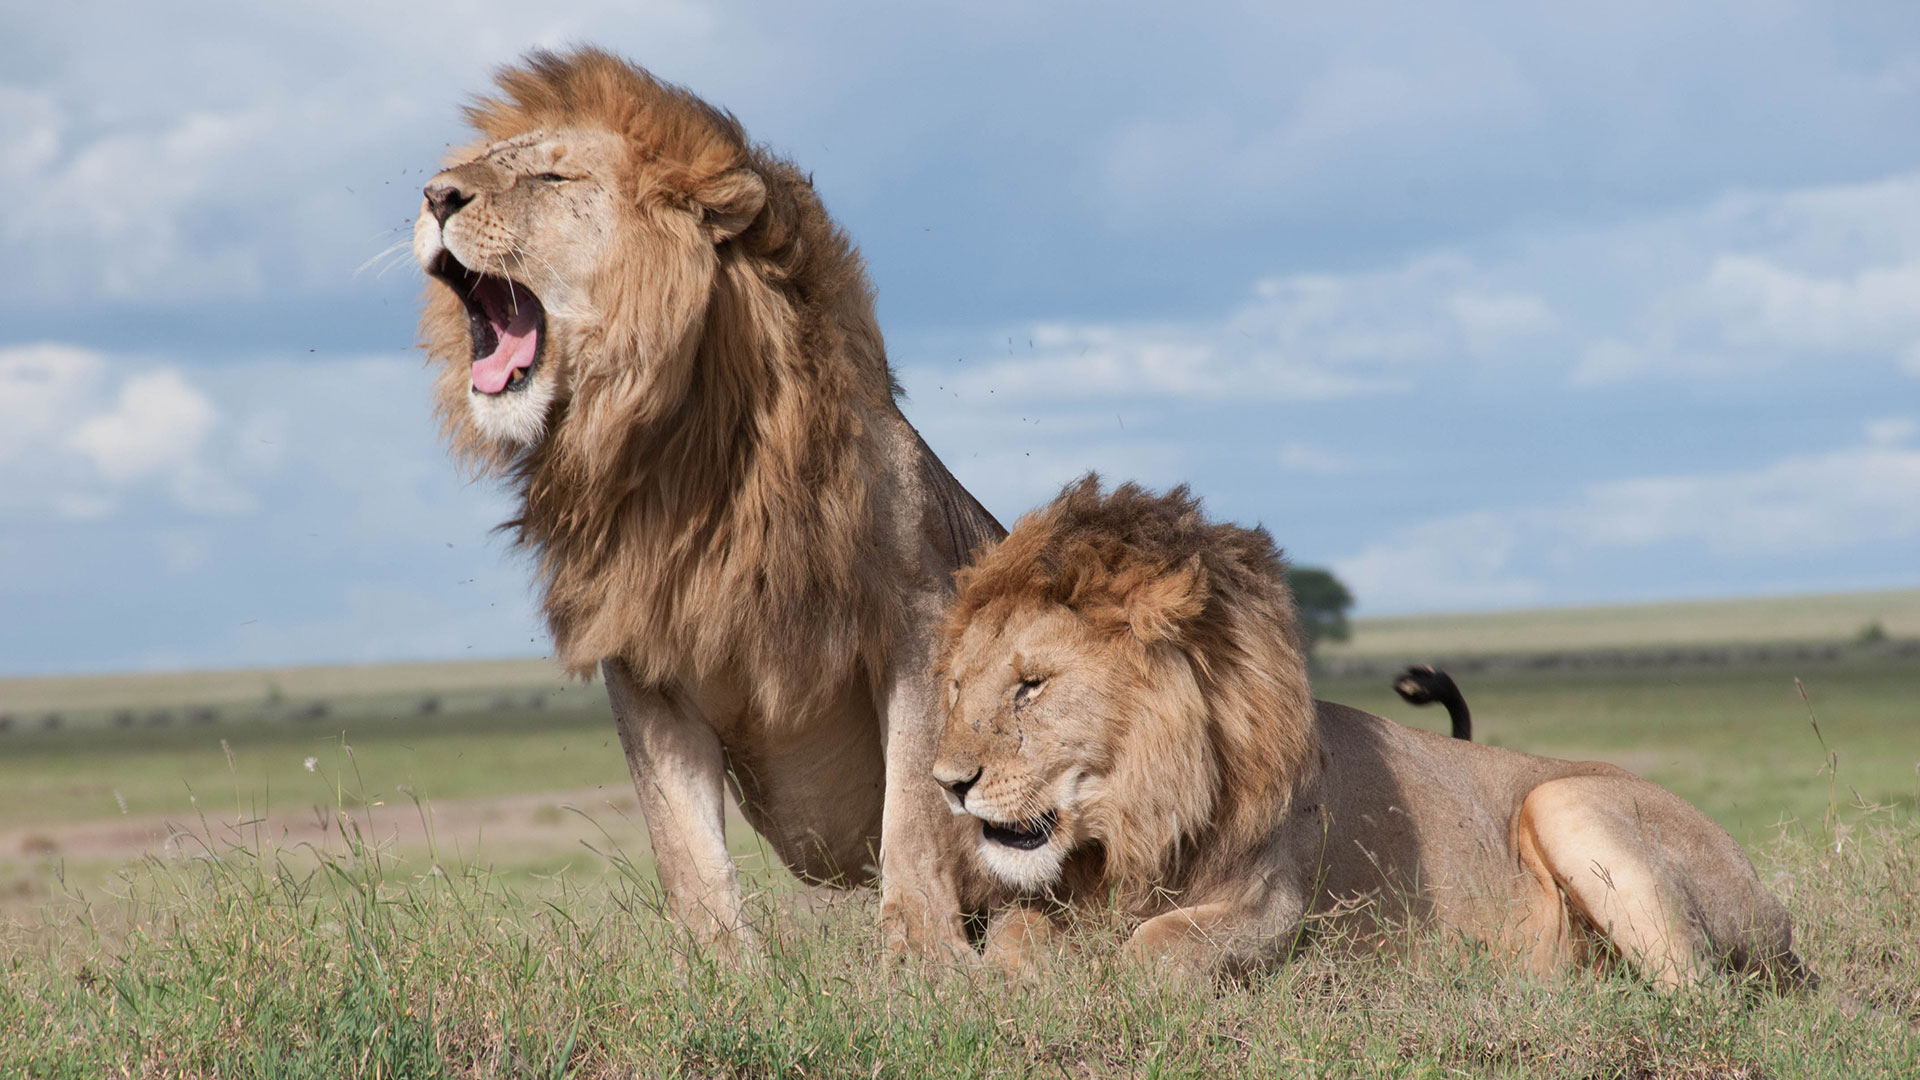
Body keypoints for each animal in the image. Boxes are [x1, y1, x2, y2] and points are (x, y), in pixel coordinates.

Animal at [410, 48, 998, 949]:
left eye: (550, 176)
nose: (435, 195)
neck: (677, 455)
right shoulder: (642, 655)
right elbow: (683, 846)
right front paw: (722, 967)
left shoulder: (921, 614)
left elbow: (917, 814)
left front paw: (923, 956)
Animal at [936, 476, 1804, 983]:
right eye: (957, 685)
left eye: (1031, 687)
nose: (947, 784)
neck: (1133, 822)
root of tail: (1778, 914)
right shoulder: (1054, 897)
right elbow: (1012, 935)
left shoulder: (1276, 905)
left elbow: (1158, 947)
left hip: (1567, 800)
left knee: (1697, 992)